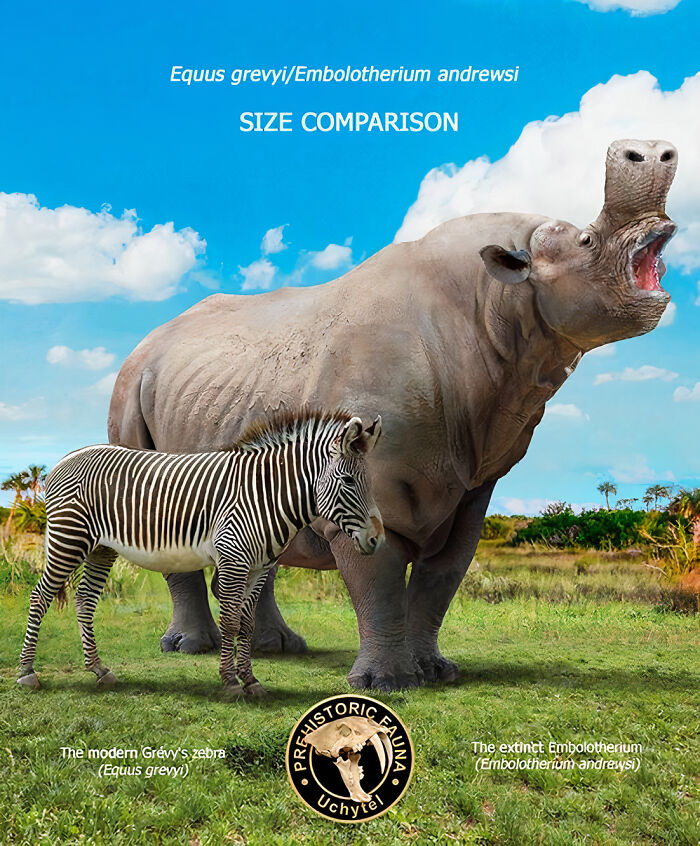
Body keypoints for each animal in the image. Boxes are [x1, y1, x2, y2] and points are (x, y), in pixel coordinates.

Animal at [18, 409, 384, 697]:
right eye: (348, 480)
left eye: (370, 481)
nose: (377, 540)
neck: (266, 494)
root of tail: (64, 458)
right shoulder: (233, 558)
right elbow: (230, 621)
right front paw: (231, 682)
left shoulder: (258, 568)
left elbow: (247, 624)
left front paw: (251, 681)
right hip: (69, 537)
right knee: (40, 596)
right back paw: (27, 673)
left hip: (101, 548)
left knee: (84, 600)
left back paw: (98, 669)